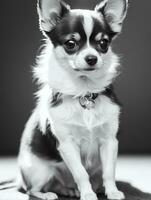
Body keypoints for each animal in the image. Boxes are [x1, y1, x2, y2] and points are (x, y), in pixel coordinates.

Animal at [18, 0, 129, 200]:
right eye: (71, 43)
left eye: (103, 43)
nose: (92, 58)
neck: (84, 92)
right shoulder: (67, 145)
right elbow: (80, 173)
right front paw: (88, 194)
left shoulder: (109, 141)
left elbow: (109, 172)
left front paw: (112, 192)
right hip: (40, 172)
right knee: (33, 189)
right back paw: (48, 194)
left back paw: (75, 190)